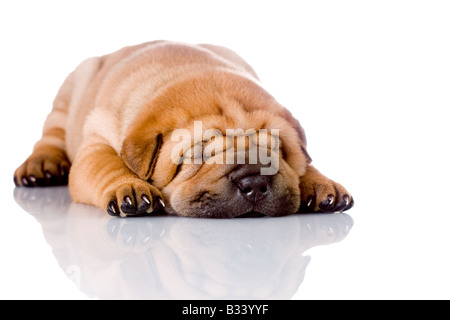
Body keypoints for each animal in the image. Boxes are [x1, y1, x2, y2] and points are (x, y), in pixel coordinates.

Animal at [14, 40, 354, 218]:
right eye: (199, 154)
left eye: (277, 151)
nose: (255, 182)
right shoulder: (97, 141)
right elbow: (105, 165)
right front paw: (130, 188)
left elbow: (303, 164)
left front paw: (319, 183)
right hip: (67, 97)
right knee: (50, 137)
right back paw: (41, 165)